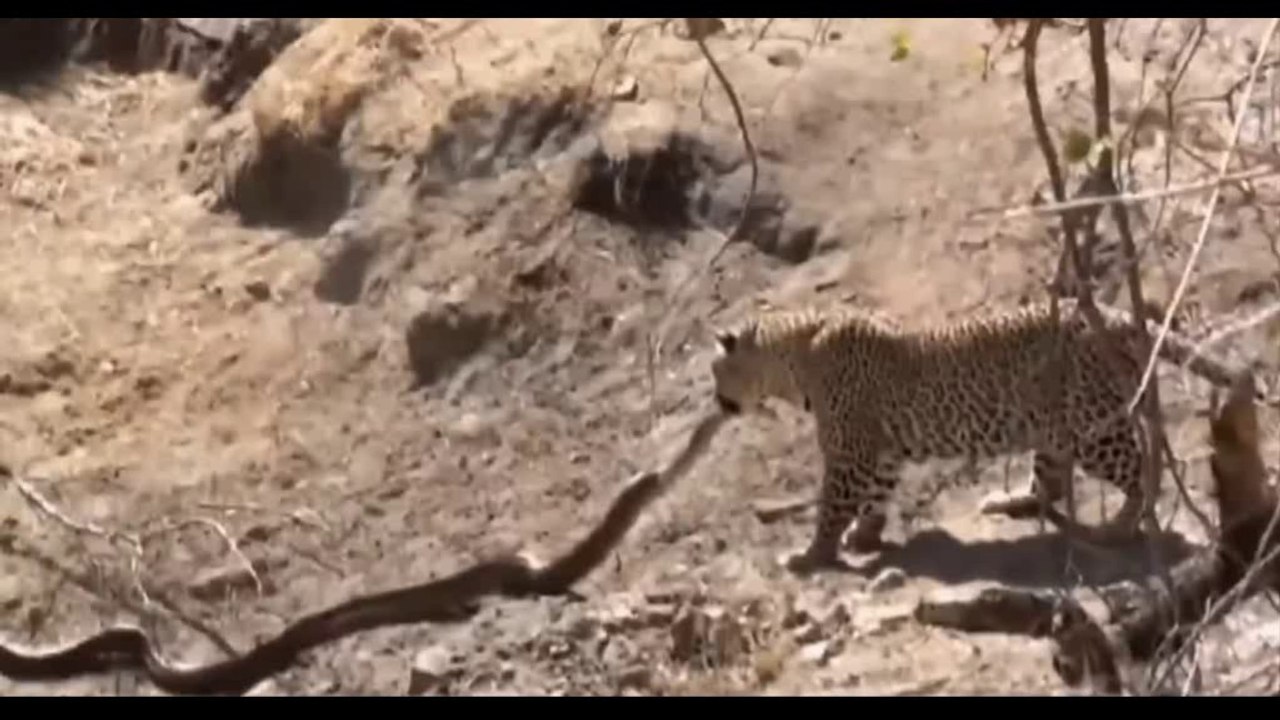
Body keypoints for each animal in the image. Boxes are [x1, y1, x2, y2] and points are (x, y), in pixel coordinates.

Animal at [709, 297, 1248, 575]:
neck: (792, 358)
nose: (716, 402)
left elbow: (830, 506)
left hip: (1093, 427)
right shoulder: (881, 452)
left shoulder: (850, 451)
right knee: (1052, 480)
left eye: (716, 371)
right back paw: (1010, 501)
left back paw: (1116, 527)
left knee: (1139, 471)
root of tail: (1117, 315)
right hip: (1052, 427)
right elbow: (875, 496)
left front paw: (811, 554)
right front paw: (865, 536)